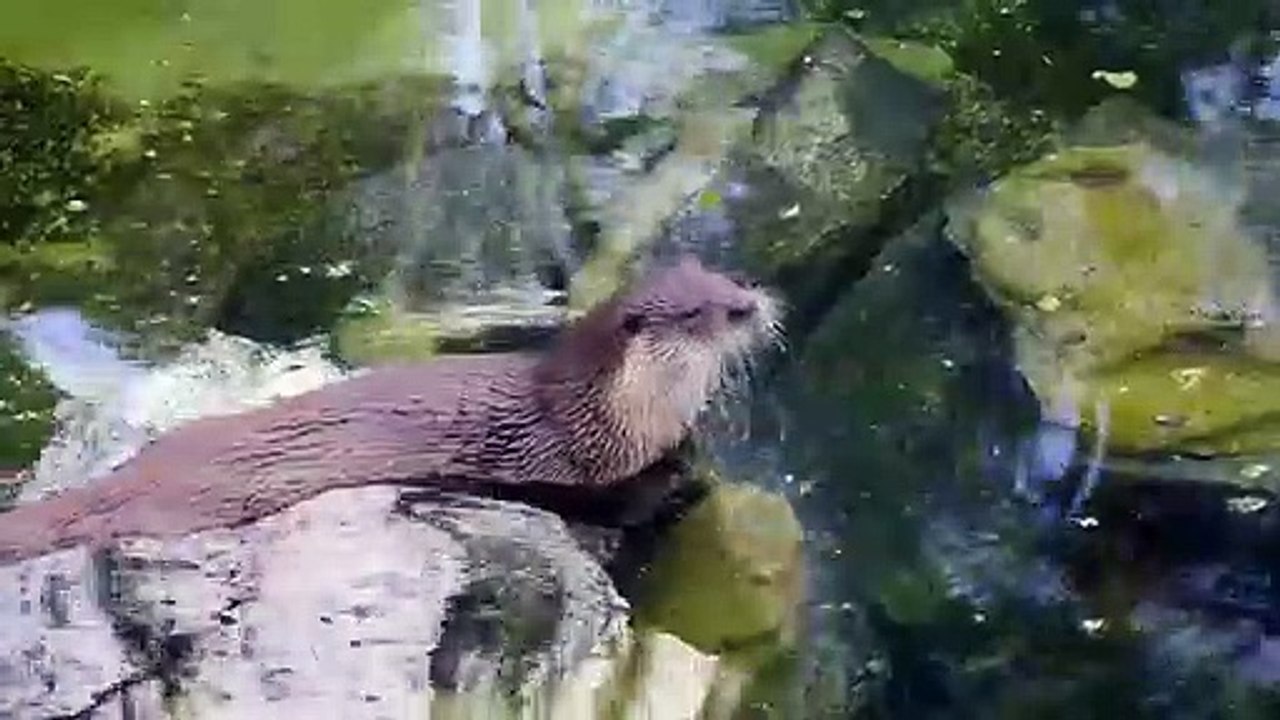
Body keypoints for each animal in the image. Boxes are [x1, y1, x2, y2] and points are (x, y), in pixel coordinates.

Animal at [0, 256, 781, 564]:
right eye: (697, 312)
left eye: (725, 278)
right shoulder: (574, 466)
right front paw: (682, 485)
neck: (609, 414)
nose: (751, 304)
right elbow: (623, 505)